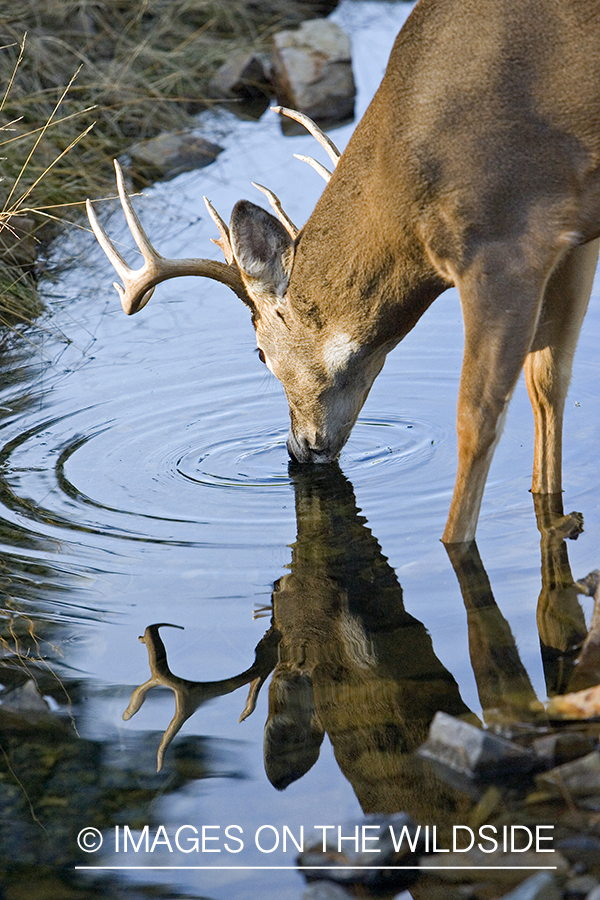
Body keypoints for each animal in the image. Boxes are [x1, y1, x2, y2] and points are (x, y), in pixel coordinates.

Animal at [87, 0, 600, 544]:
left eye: (260, 353)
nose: (297, 449)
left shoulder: (502, 243)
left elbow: (476, 420)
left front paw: (452, 544)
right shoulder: (571, 235)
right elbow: (548, 383)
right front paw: (557, 515)